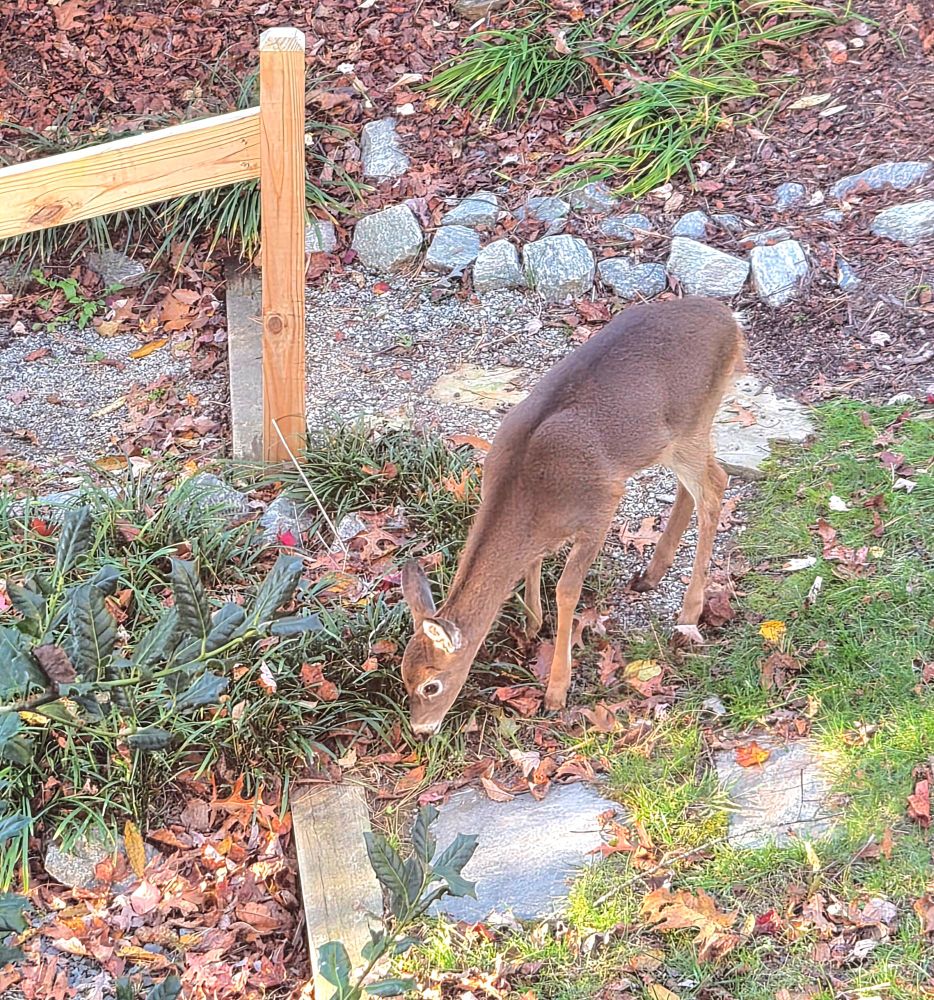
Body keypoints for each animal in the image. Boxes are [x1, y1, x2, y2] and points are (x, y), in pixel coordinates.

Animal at [399, 296, 745, 736]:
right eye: (404, 676)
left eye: (431, 685)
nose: (420, 729)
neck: (527, 493)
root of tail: (731, 321)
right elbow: (532, 564)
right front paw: (532, 624)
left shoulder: (600, 505)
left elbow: (566, 591)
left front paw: (556, 691)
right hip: (673, 439)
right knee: (695, 488)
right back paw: (650, 575)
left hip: (691, 424)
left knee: (715, 487)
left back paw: (689, 614)